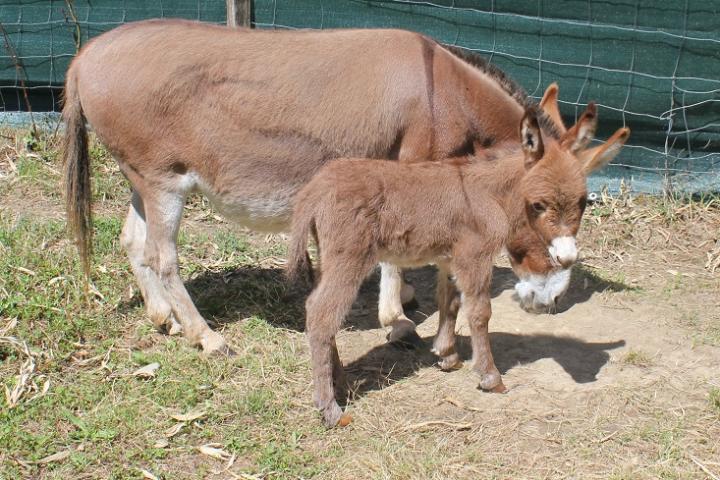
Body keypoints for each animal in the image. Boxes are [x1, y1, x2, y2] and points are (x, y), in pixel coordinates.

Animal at [286, 109, 612, 428]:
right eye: (538, 205)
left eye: (582, 202)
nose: (567, 257)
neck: (488, 194)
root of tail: (316, 188)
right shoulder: (474, 257)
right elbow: (479, 313)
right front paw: (490, 377)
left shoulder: (450, 259)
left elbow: (450, 302)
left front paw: (447, 356)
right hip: (349, 258)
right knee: (322, 314)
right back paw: (330, 410)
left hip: (328, 256)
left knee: (318, 308)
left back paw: (340, 381)